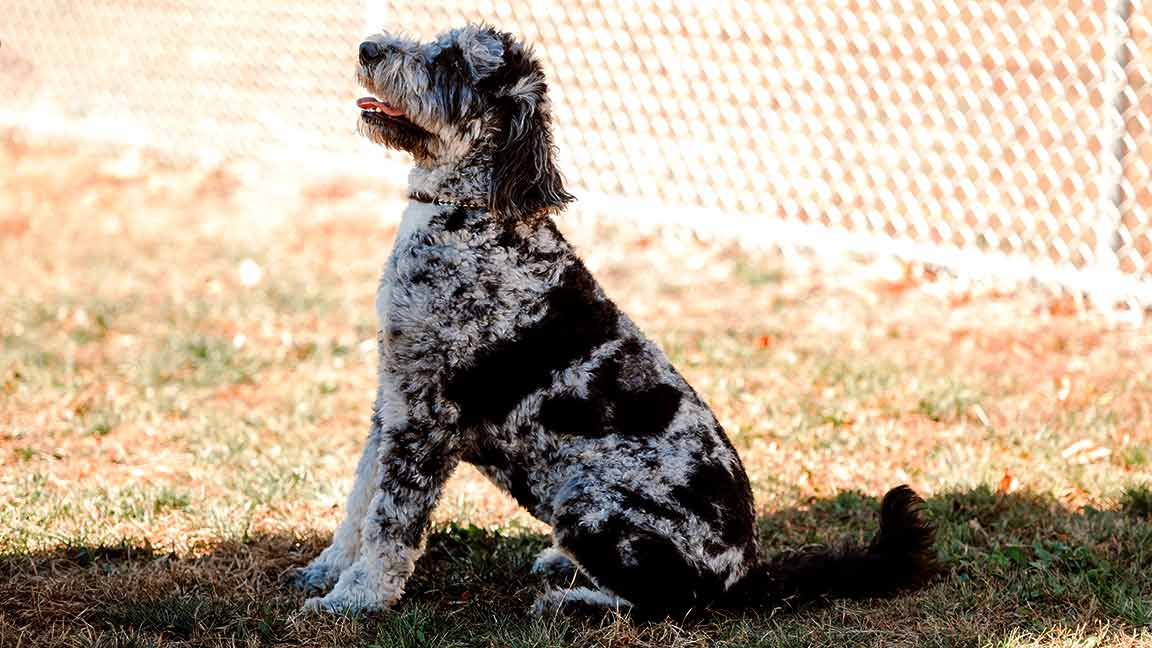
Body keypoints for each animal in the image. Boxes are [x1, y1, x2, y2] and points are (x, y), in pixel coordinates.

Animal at [292, 23, 940, 613]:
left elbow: (390, 522)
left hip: (589, 494)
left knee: (670, 602)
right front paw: (327, 570)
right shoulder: (391, 402)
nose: (367, 48)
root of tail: (747, 574)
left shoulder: (426, 419)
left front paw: (356, 599)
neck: (472, 221)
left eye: (452, 62)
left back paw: (574, 599)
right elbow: (359, 500)